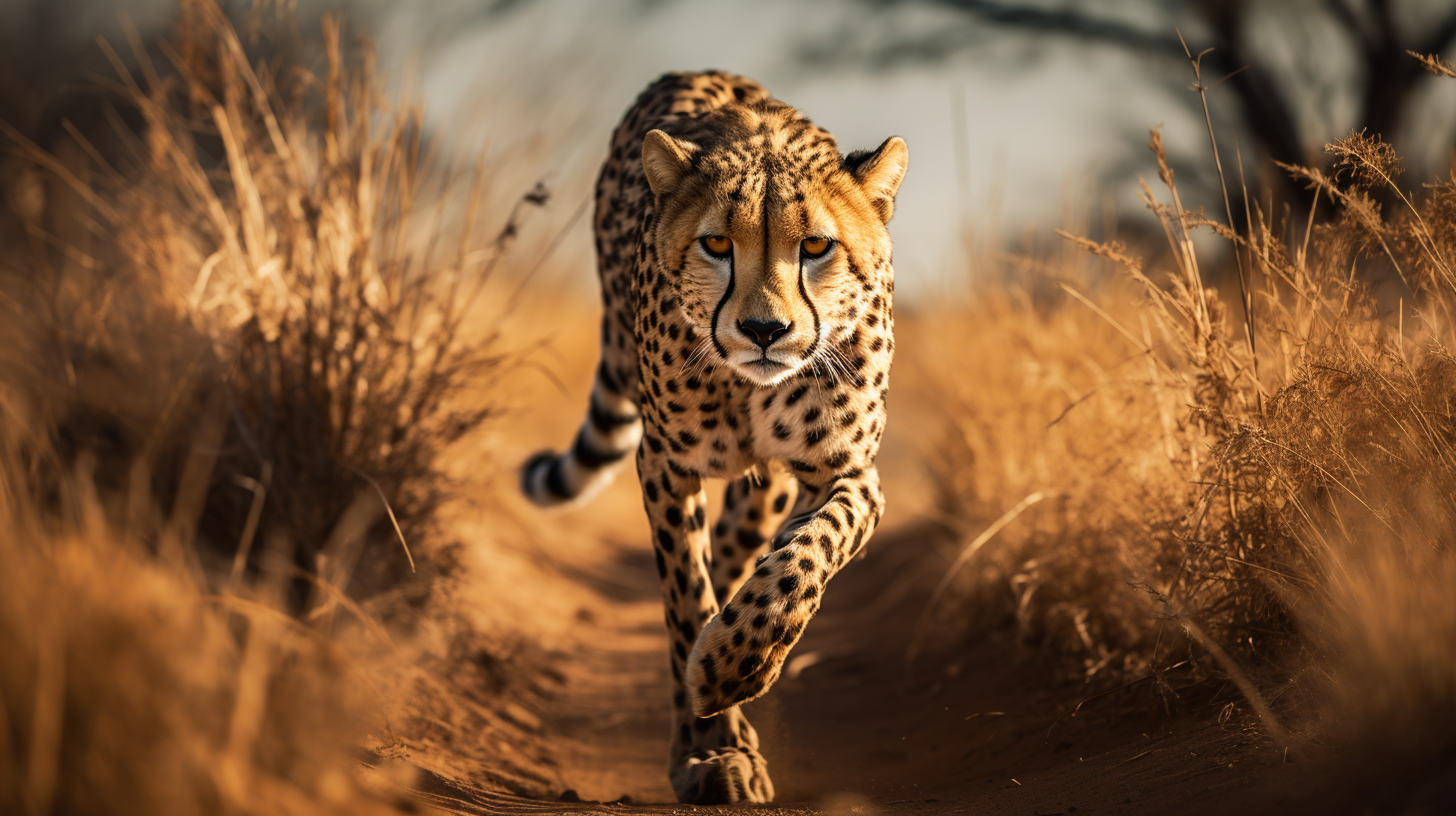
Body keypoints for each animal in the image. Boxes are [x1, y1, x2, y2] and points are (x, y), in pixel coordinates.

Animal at [520, 70, 906, 805]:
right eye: (717, 246)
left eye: (817, 247)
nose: (764, 331)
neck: (748, 387)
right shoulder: (665, 464)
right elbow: (684, 594)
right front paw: (710, 745)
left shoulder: (845, 472)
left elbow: (805, 560)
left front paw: (735, 668)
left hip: (765, 490)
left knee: (742, 550)